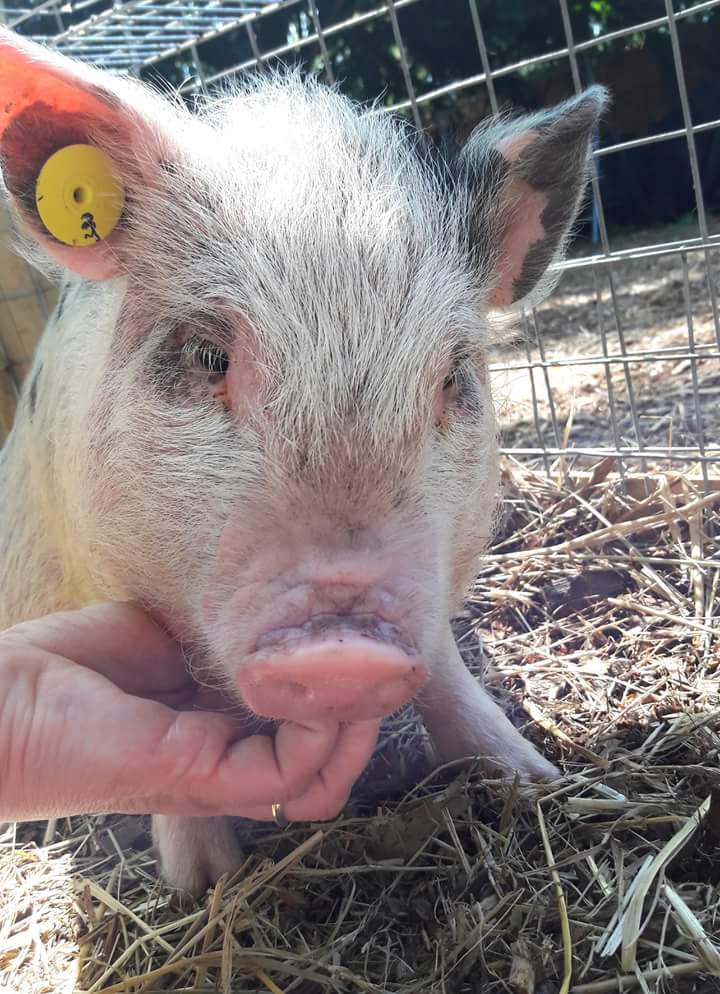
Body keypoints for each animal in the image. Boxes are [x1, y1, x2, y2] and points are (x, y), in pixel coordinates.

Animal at [0, 27, 606, 895]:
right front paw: (201, 885)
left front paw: (535, 778)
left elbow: (445, 668)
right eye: (207, 355)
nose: (344, 648)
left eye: (452, 378)